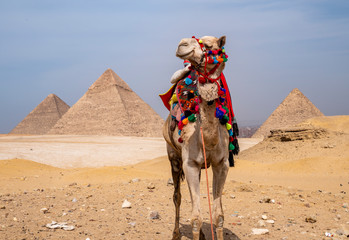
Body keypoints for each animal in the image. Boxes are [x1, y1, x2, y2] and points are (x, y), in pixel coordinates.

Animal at [163, 35, 234, 240]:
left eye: (209, 45)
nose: (182, 44)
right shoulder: (190, 163)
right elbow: (195, 218)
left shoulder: (222, 164)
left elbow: (219, 215)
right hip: (174, 157)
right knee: (177, 197)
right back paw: (176, 233)